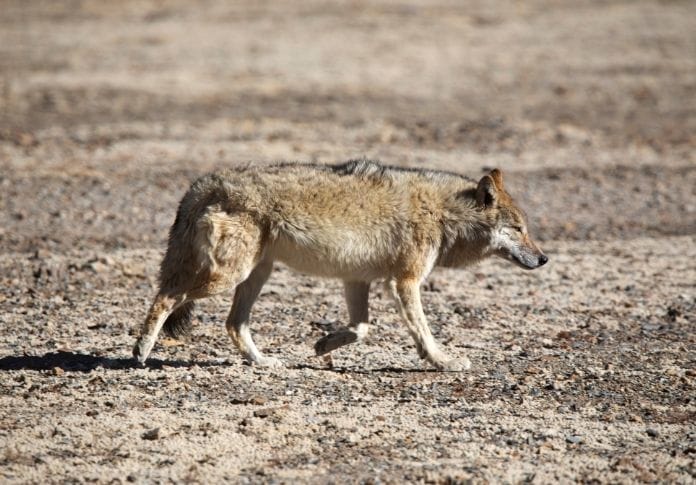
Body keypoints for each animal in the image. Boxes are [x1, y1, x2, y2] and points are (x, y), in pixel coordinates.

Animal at [132, 159, 547, 371]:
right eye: (519, 230)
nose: (544, 258)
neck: (443, 213)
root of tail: (200, 184)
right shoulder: (404, 282)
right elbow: (423, 332)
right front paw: (443, 361)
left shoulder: (357, 279)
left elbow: (361, 329)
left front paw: (323, 345)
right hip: (229, 275)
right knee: (166, 296)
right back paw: (141, 351)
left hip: (256, 275)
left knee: (233, 324)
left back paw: (263, 361)